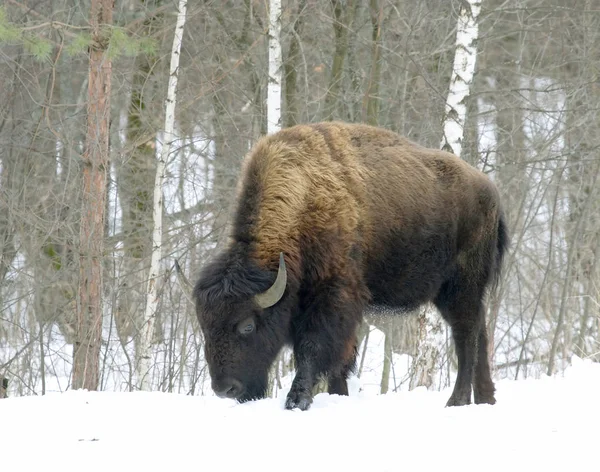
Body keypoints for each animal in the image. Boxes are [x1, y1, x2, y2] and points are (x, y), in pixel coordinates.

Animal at [192, 121, 506, 410]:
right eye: (204, 328)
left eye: (246, 326)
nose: (225, 389)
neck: (303, 198)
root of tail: (490, 190)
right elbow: (338, 359)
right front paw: (337, 395)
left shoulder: (333, 297)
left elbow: (313, 349)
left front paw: (297, 400)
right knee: (480, 332)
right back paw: (486, 398)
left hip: (461, 287)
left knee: (466, 336)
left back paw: (457, 401)